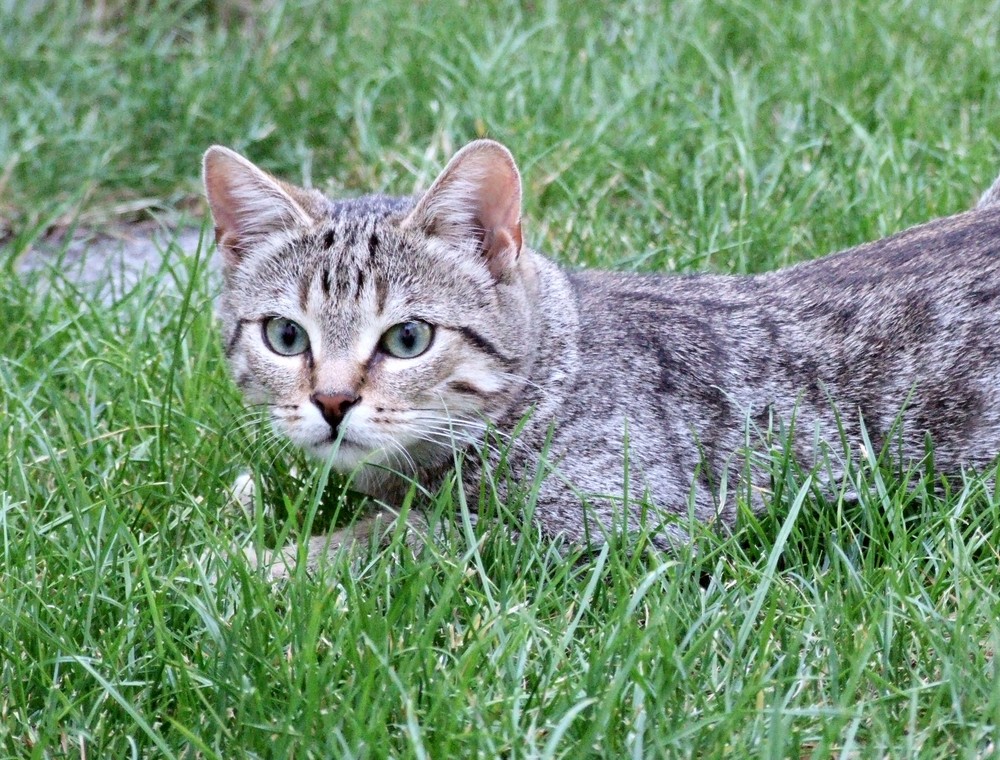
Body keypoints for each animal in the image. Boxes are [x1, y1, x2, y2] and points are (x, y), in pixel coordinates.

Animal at [199, 141, 1000, 576]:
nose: (332, 401)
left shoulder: (628, 523)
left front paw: (265, 563)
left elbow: (416, 536)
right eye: (286, 337)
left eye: (407, 339)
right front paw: (243, 507)